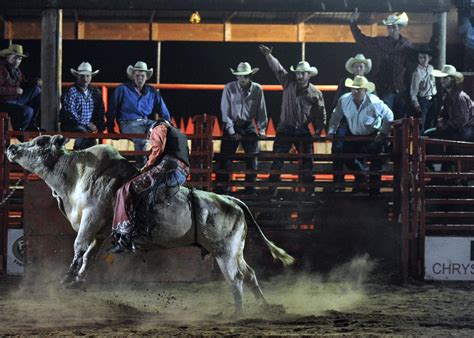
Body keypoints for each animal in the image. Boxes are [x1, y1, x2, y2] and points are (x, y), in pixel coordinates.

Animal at [7, 134, 294, 312]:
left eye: (40, 141)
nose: (11, 148)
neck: (76, 173)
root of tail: (231, 201)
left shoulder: (92, 216)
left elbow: (79, 247)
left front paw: (67, 277)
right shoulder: (100, 230)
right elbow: (89, 254)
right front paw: (77, 280)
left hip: (225, 252)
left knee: (236, 279)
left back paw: (238, 313)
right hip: (235, 251)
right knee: (250, 274)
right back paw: (266, 308)